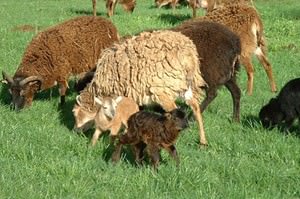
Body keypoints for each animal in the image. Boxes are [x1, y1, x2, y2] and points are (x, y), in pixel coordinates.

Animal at [75, 29, 209, 145]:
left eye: (76, 114)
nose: (76, 131)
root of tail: (188, 55)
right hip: (185, 84)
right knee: (196, 107)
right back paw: (203, 141)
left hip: (164, 88)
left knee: (175, 110)